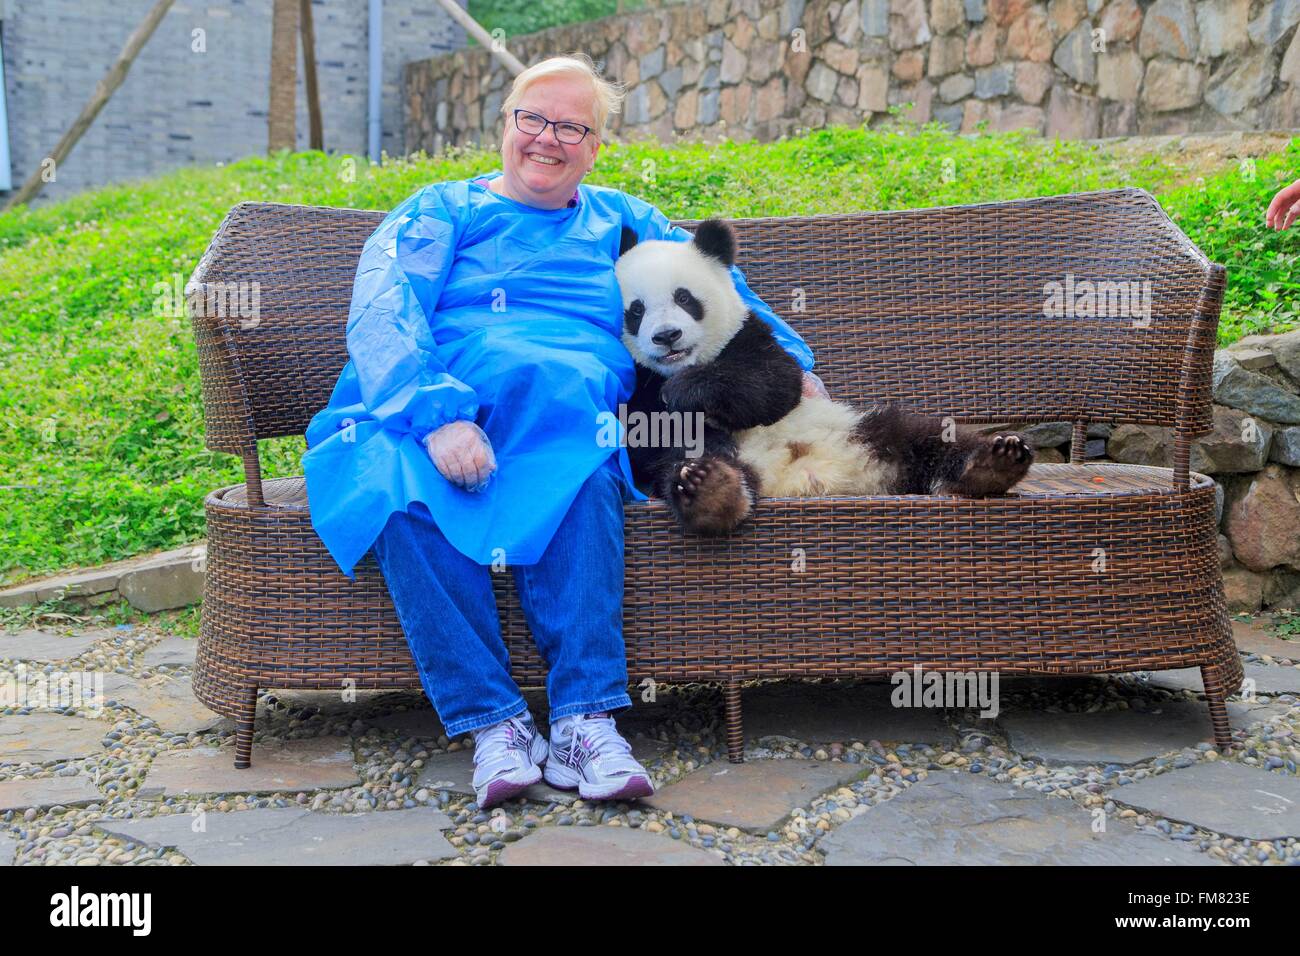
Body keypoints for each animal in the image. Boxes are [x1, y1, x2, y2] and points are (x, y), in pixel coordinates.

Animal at [613, 217, 1029, 538]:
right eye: (636, 310)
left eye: (684, 298)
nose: (667, 336)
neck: (684, 364)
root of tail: (806, 480)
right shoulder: (637, 382)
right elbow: (644, 435)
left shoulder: (750, 336)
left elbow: (771, 386)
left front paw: (684, 392)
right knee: (684, 466)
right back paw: (711, 489)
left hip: (857, 427)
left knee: (921, 436)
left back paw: (994, 462)